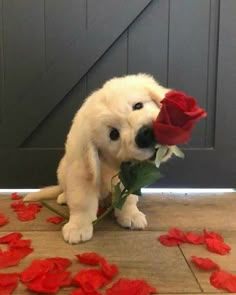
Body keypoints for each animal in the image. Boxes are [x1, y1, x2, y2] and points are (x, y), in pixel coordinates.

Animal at [24, 74, 171, 245]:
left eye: (138, 105)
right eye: (114, 134)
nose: (144, 135)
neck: (112, 162)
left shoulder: (129, 176)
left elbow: (128, 197)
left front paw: (131, 215)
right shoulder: (81, 175)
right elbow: (82, 202)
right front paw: (78, 227)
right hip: (62, 171)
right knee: (66, 190)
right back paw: (64, 197)